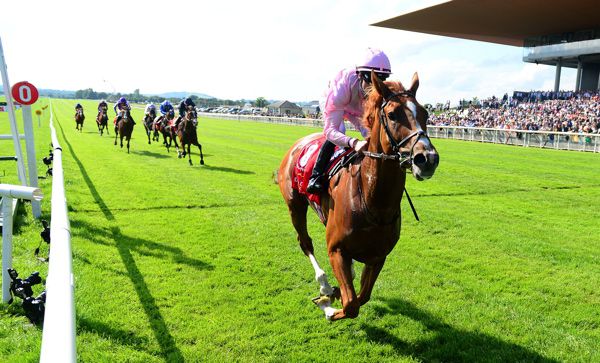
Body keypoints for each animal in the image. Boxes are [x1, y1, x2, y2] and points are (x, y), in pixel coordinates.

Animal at [278, 71, 438, 322]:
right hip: (295, 205)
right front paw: (327, 306)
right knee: (305, 243)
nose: (428, 158)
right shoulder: (335, 249)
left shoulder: (378, 256)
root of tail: (298, 144)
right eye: (392, 114)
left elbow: (362, 297)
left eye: (425, 113)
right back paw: (324, 284)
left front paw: (338, 294)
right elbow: (351, 304)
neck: (375, 204)